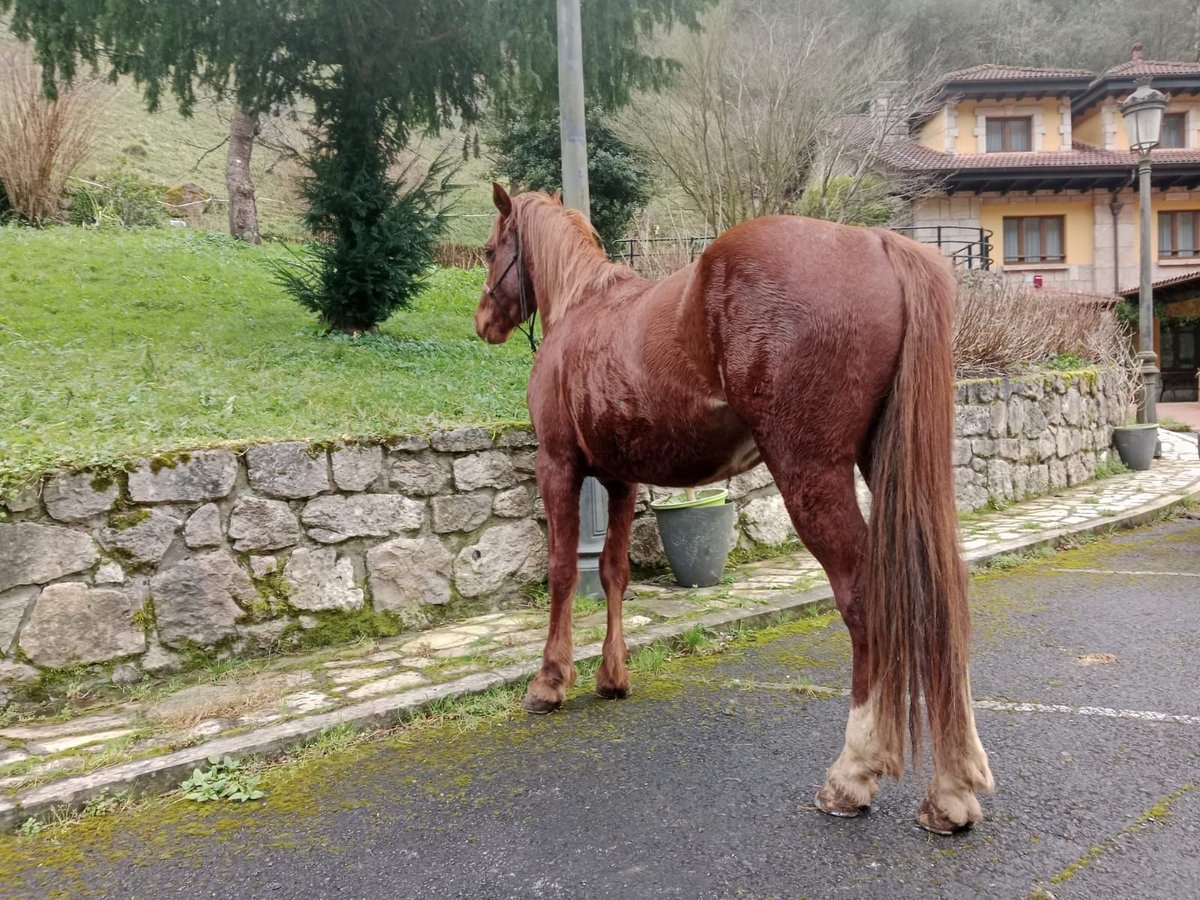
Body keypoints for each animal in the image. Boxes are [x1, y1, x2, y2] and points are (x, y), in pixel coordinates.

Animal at [477, 184, 993, 840]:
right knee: (938, 591)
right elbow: (614, 573)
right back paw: (952, 790)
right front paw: (612, 677)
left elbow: (564, 573)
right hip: (891, 466)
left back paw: (852, 774)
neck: (583, 307)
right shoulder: (621, 481)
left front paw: (549, 683)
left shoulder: (558, 467)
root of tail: (878, 243)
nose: (483, 321)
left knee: (866, 598)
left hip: (810, 474)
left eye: (491, 248)